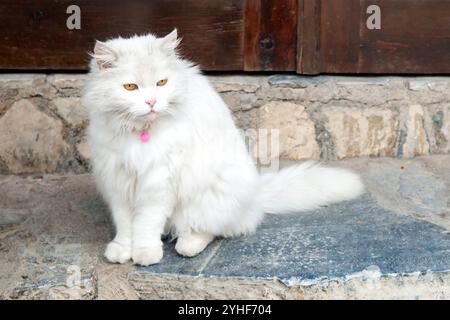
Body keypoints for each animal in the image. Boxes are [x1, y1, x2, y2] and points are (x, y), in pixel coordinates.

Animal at [82, 29, 364, 264]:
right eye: (130, 87)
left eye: (162, 83)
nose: (151, 102)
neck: (140, 134)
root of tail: (256, 195)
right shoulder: (117, 180)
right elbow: (125, 224)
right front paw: (122, 250)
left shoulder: (158, 182)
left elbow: (146, 223)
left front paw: (144, 253)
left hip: (211, 195)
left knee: (210, 230)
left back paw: (187, 245)